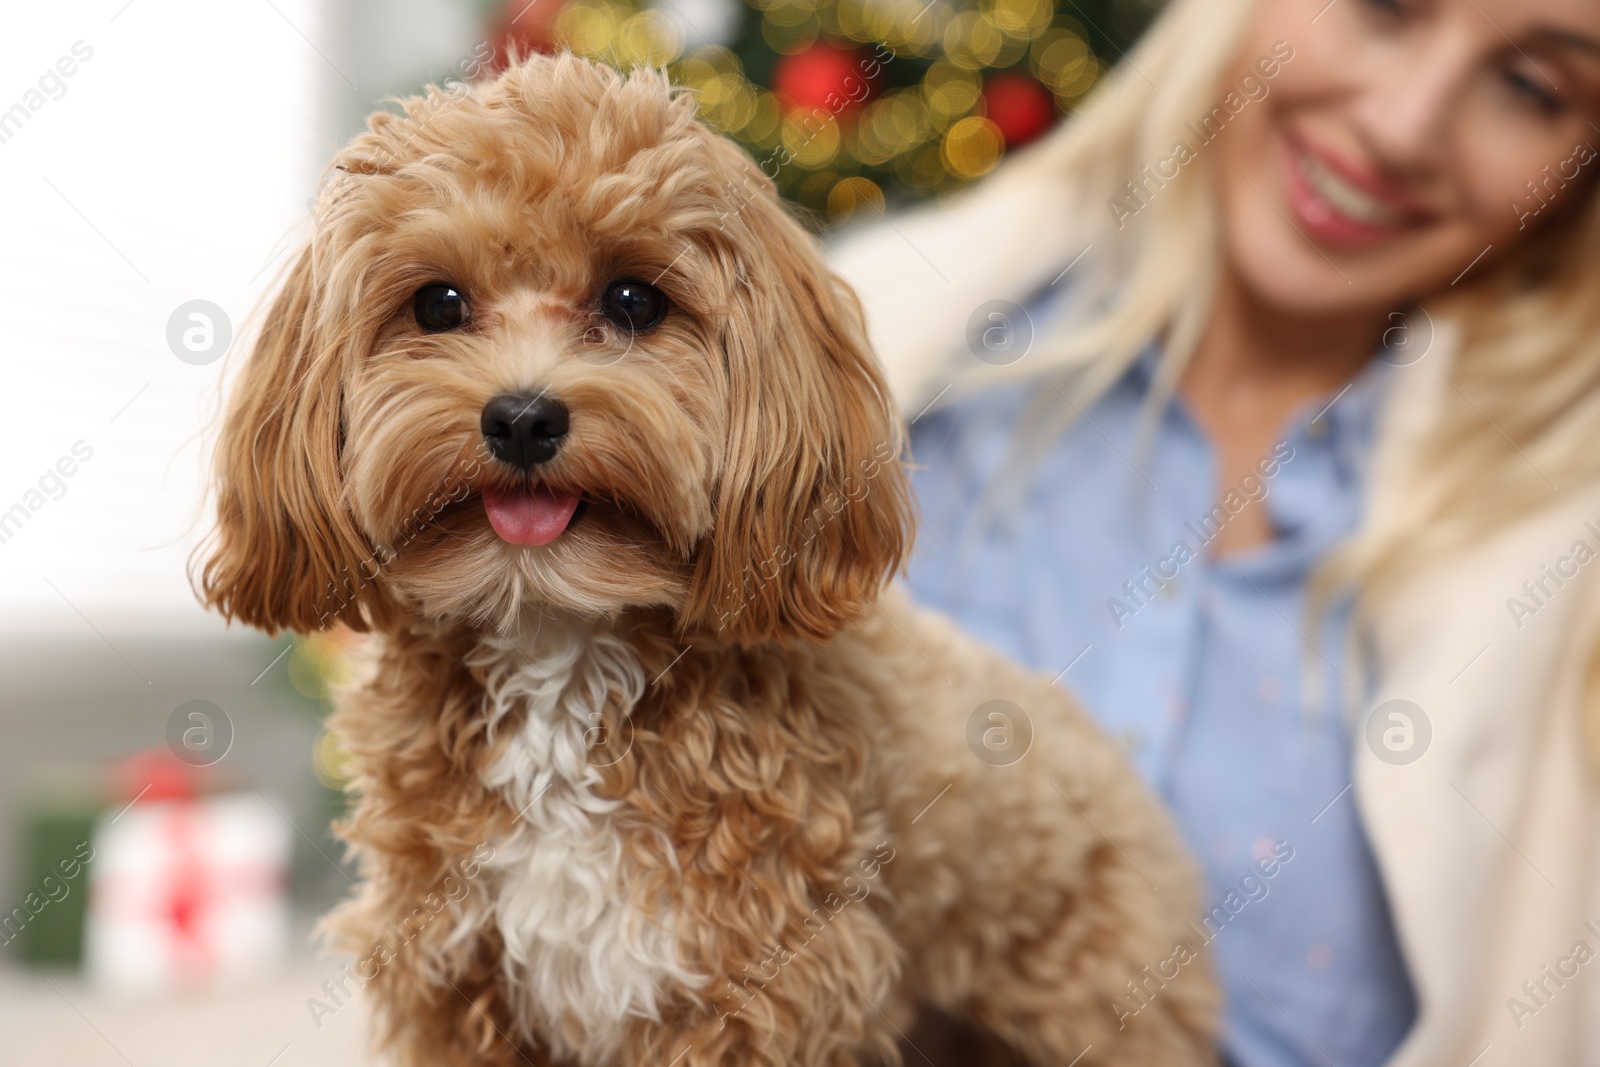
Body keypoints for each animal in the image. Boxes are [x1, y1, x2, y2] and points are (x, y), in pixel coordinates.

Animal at [193, 54, 1209, 1067]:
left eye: (633, 301)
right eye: (438, 303)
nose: (522, 417)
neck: (557, 650)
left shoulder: (764, 986)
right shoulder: (456, 985)